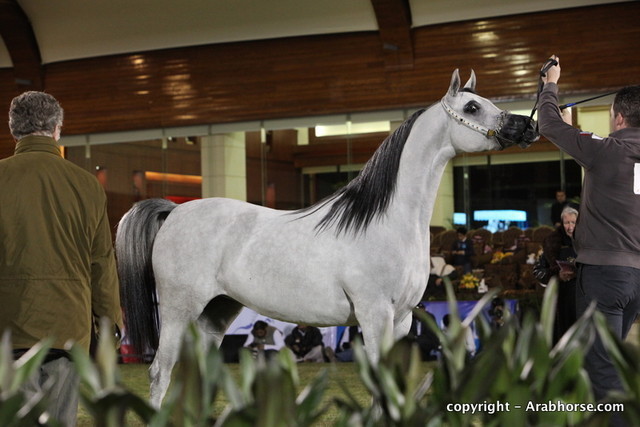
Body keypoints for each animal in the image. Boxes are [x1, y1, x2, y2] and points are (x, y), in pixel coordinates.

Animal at [116, 69, 539, 407]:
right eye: (472, 107)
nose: (526, 126)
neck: (386, 221)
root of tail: (174, 211)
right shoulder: (374, 314)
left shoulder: (401, 320)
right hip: (178, 311)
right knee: (160, 372)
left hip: (215, 314)